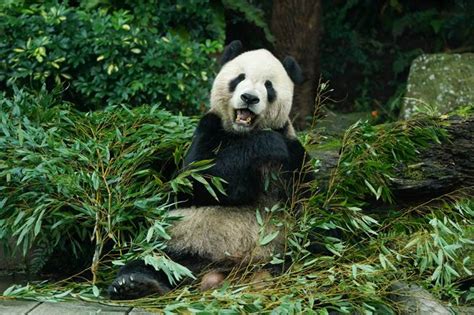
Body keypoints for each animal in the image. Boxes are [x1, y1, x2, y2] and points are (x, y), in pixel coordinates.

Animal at [109, 40, 312, 300]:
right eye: (239, 78)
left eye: (269, 86)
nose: (249, 98)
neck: (242, 133)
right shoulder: (209, 130)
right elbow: (199, 182)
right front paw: (267, 144)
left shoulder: (294, 151)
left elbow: (305, 197)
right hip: (180, 241)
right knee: (155, 260)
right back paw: (135, 283)